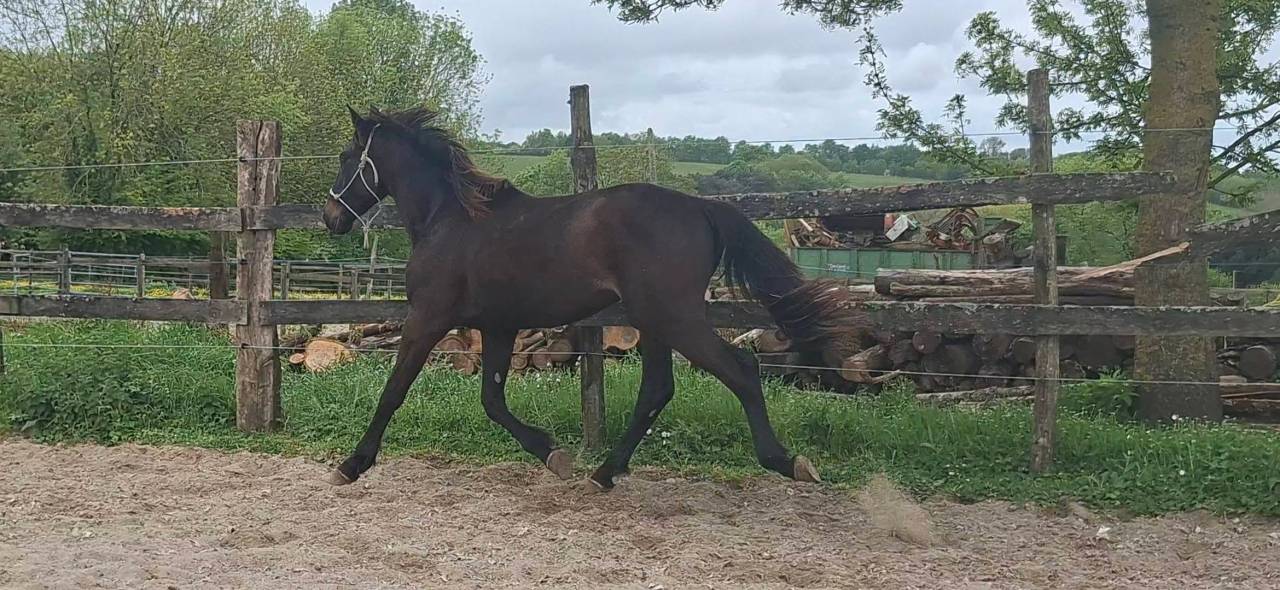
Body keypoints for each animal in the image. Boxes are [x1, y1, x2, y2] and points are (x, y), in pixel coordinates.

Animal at [322, 106, 860, 490]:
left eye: (348, 158)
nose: (332, 218)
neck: (449, 219)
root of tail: (702, 209)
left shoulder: (428, 319)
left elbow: (394, 390)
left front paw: (351, 465)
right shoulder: (498, 325)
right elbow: (492, 400)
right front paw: (554, 456)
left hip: (673, 316)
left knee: (740, 369)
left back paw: (787, 462)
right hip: (654, 320)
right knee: (658, 388)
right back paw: (603, 474)